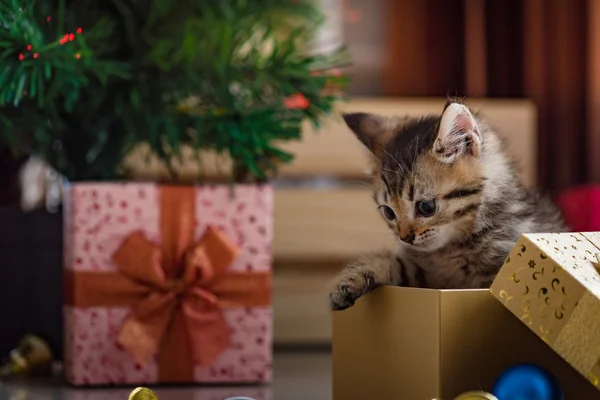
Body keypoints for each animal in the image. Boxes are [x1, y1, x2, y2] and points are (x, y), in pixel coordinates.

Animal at [330, 98, 564, 310]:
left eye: (426, 207)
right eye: (388, 212)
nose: (405, 237)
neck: (453, 249)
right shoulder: (426, 278)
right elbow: (393, 262)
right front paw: (350, 280)